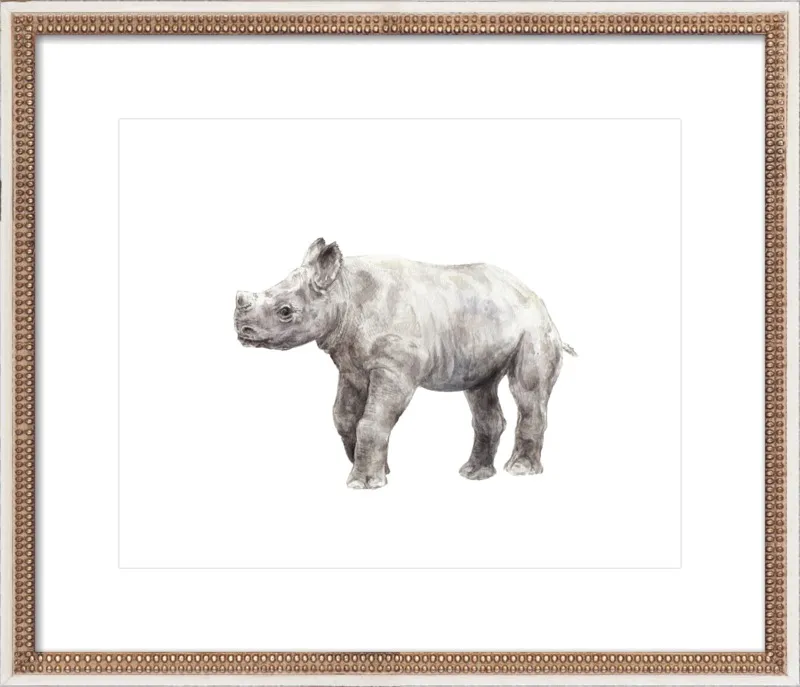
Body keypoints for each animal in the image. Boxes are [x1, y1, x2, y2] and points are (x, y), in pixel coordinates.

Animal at [235, 239, 575, 490]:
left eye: (286, 311)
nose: (242, 331)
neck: (343, 291)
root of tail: (540, 302)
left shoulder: (395, 368)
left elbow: (372, 420)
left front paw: (363, 484)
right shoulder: (352, 365)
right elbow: (344, 416)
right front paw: (381, 470)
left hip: (534, 329)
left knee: (527, 392)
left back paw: (519, 471)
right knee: (481, 389)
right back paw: (473, 474)